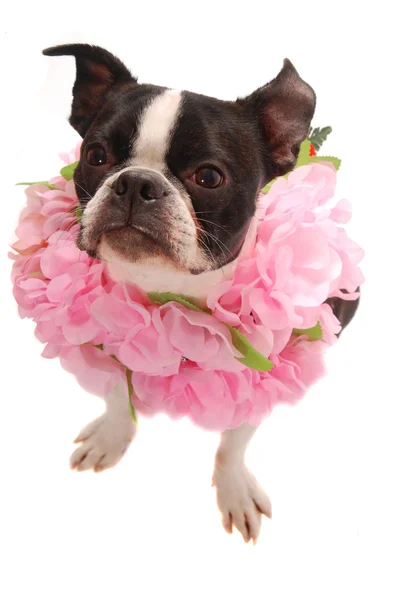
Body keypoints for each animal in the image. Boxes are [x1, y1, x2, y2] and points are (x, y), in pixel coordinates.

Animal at [42, 44, 358, 540]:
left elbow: (234, 443)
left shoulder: (259, 380)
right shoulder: (109, 348)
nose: (136, 182)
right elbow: (118, 398)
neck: (167, 288)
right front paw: (112, 437)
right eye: (95, 155)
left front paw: (233, 489)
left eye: (208, 177)